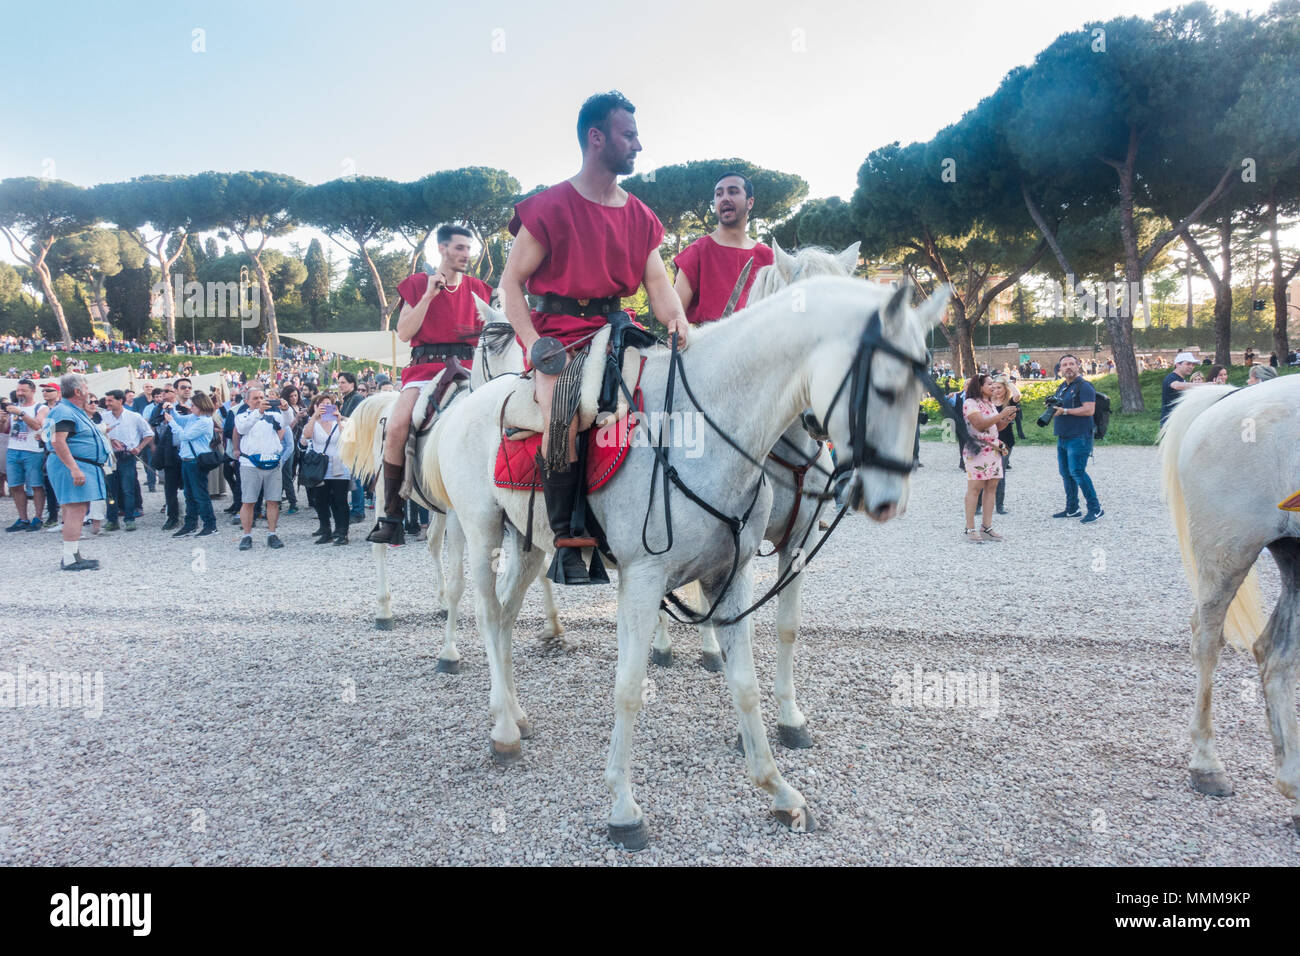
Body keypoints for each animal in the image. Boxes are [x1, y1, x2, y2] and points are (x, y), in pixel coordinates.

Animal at [340, 308, 564, 671]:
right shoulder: (468, 518)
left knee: (432, 542)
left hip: (441, 510)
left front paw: (554, 627)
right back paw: (384, 609)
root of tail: (388, 399)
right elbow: (462, 582)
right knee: (380, 548)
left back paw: (441, 601)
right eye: (490, 346)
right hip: (388, 497)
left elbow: (540, 569)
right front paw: (449, 652)